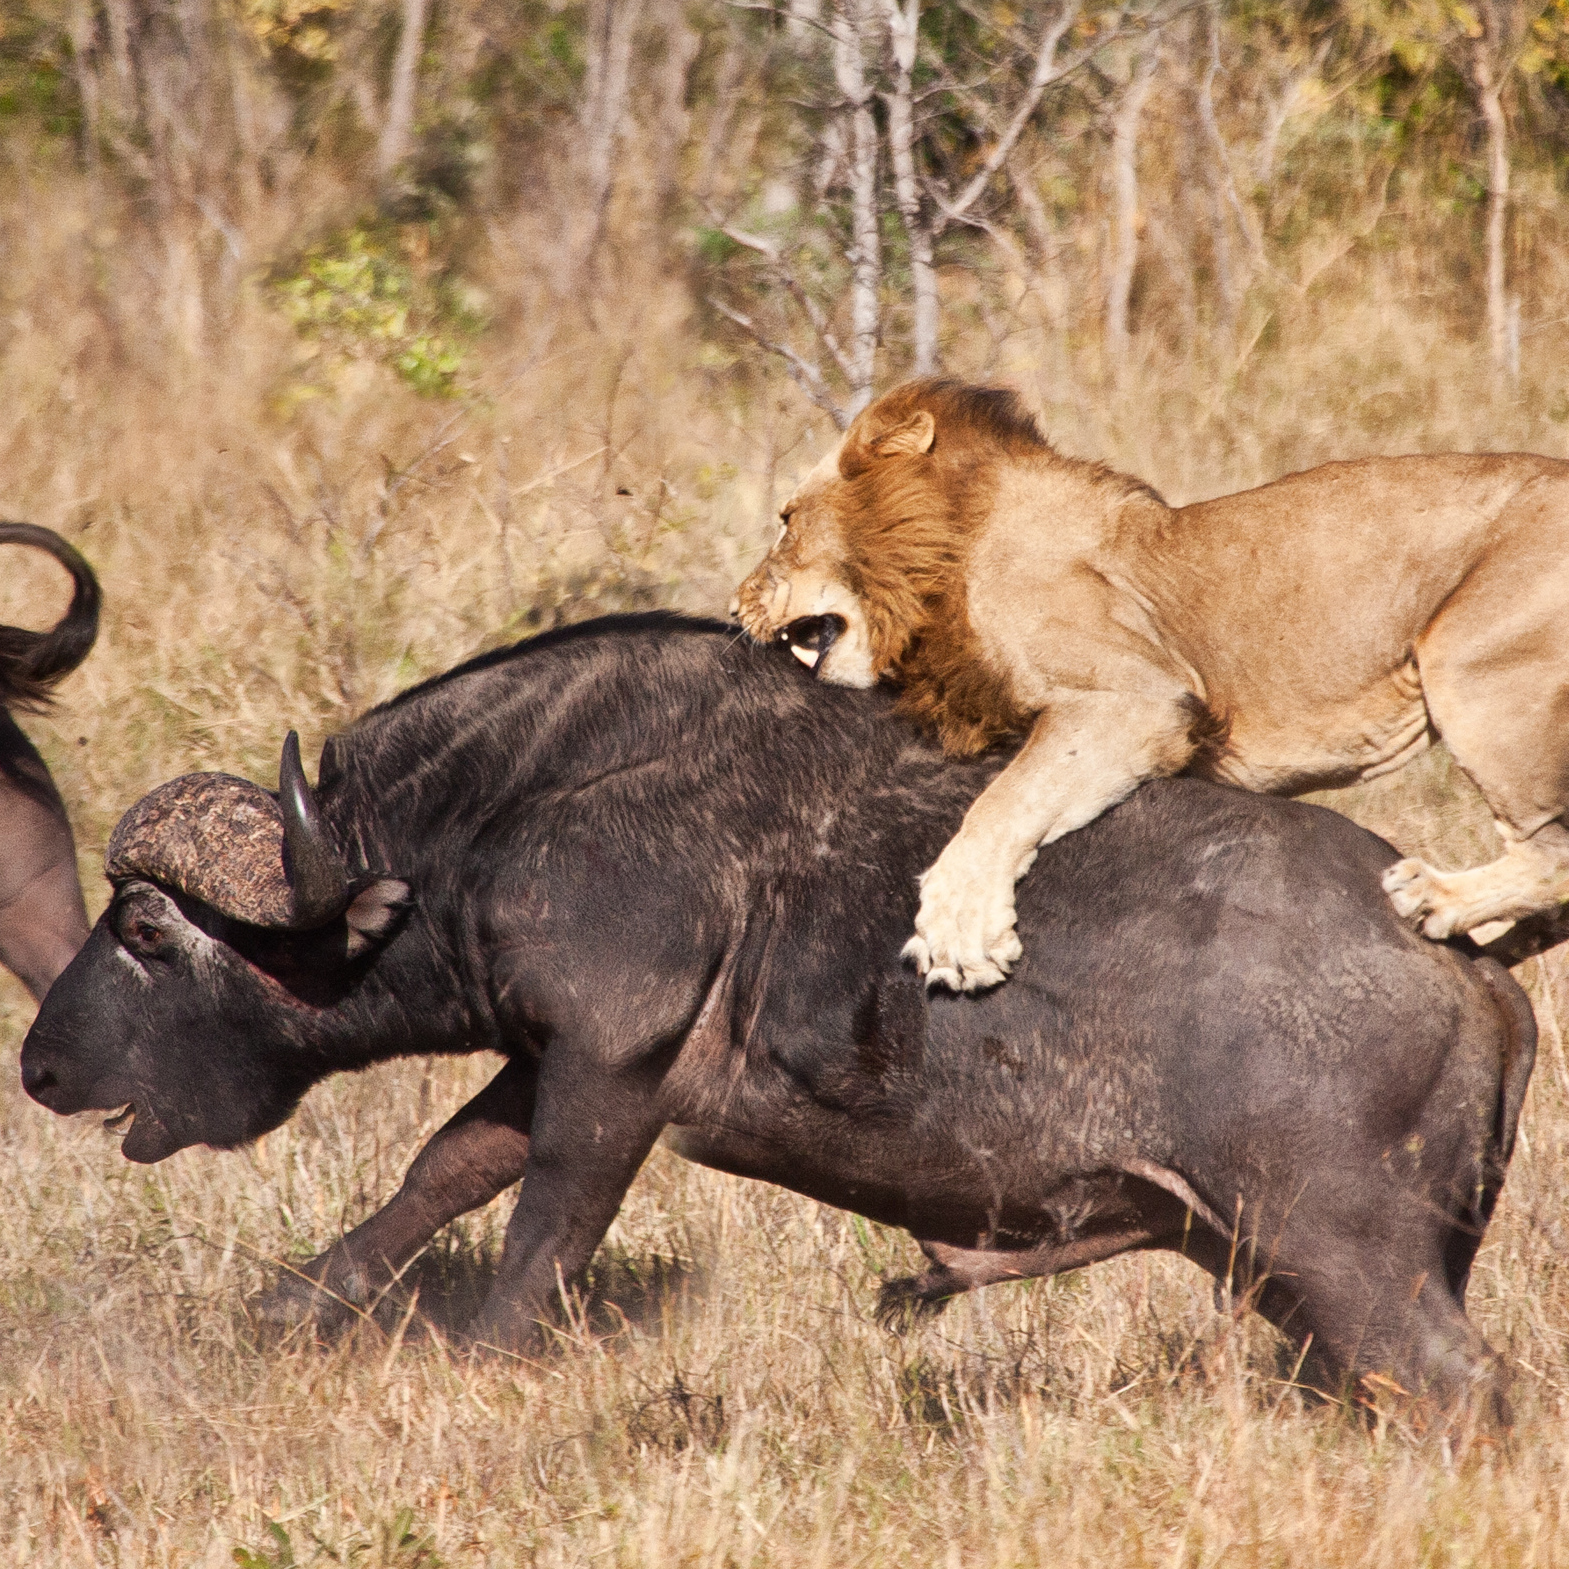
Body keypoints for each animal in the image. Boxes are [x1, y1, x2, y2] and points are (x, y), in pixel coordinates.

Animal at [18, 611, 1537, 1424]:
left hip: (1345, 1255)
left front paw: (490, 1359)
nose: (35, 1062)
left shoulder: (608, 1076)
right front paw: (292, 1303)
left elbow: (544, 1231)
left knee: (1465, 1389)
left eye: (145, 931)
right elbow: (440, 1169)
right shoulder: (540, 1060)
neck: (513, 807)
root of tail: (1476, 966)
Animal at [731, 381, 1569, 991]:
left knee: (1552, 855)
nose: (735, 603)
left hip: (1470, 669)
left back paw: (1435, 900)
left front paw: (958, 933)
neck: (943, 561)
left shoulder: (1138, 696)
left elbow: (1004, 801)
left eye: (785, 519)